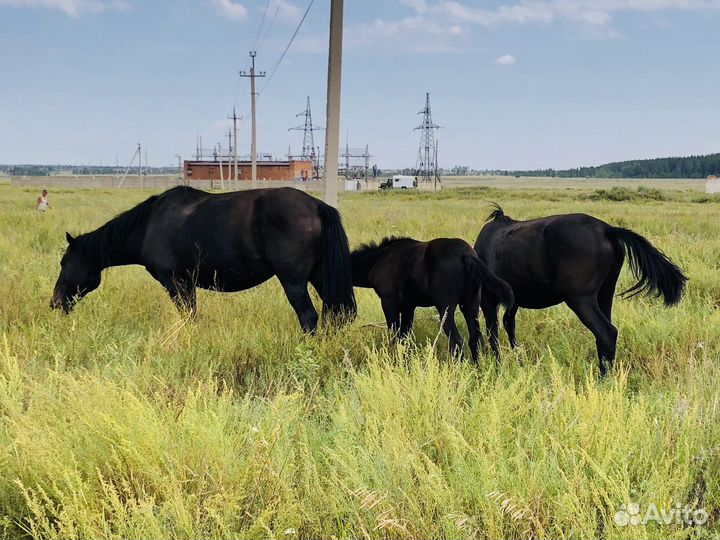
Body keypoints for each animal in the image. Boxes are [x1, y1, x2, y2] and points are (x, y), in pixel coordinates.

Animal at [51, 186, 357, 331]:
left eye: (64, 263)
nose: (54, 303)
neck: (149, 225)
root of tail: (317, 205)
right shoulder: (186, 283)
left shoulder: (175, 282)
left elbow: (188, 316)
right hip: (320, 276)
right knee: (337, 313)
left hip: (293, 281)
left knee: (309, 317)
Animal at [351, 237, 514, 362]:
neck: (380, 259)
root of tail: (465, 255)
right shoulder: (409, 306)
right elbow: (404, 337)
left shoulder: (389, 302)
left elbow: (394, 336)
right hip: (471, 304)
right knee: (476, 338)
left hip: (446, 307)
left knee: (456, 340)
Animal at [474, 204, 687, 375]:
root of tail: (607, 230)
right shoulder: (514, 301)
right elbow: (509, 325)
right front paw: (518, 361)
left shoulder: (488, 300)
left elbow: (493, 333)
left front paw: (498, 367)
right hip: (605, 294)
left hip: (580, 299)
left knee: (607, 332)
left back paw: (603, 379)